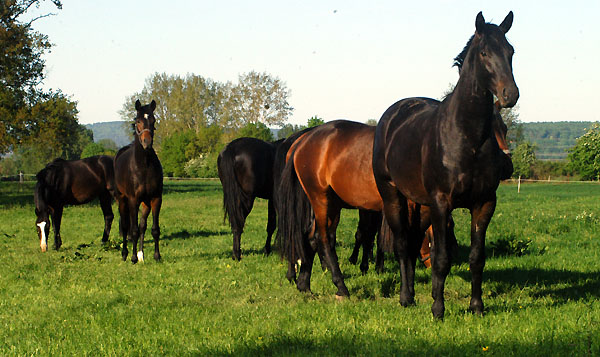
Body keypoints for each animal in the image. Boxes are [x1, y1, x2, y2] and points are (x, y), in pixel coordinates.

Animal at [113, 98, 163, 262]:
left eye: (153, 120)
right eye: (138, 121)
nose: (147, 142)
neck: (144, 167)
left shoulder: (156, 199)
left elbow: (154, 229)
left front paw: (156, 256)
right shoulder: (133, 200)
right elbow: (133, 230)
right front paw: (133, 257)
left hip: (145, 202)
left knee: (142, 225)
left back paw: (141, 254)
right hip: (122, 200)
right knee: (126, 225)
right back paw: (125, 254)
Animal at [372, 11, 516, 318]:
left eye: (511, 51)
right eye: (485, 52)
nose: (510, 94)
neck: (466, 136)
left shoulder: (484, 203)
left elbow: (476, 257)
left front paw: (476, 306)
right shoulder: (442, 203)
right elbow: (441, 258)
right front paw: (438, 309)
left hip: (421, 205)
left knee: (413, 244)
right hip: (393, 196)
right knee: (402, 245)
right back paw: (406, 297)